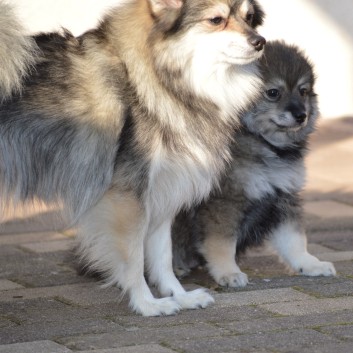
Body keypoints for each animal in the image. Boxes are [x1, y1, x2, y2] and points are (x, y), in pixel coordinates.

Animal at [0, 0, 264, 314]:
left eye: (249, 17)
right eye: (216, 20)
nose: (260, 42)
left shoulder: (161, 192)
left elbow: (162, 256)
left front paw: (179, 295)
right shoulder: (127, 199)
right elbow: (134, 258)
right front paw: (147, 304)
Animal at [173, 41, 336, 286]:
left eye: (303, 91)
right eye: (273, 93)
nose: (302, 115)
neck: (261, 141)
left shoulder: (283, 199)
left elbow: (295, 241)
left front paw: (309, 264)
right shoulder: (225, 202)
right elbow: (221, 244)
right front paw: (228, 272)